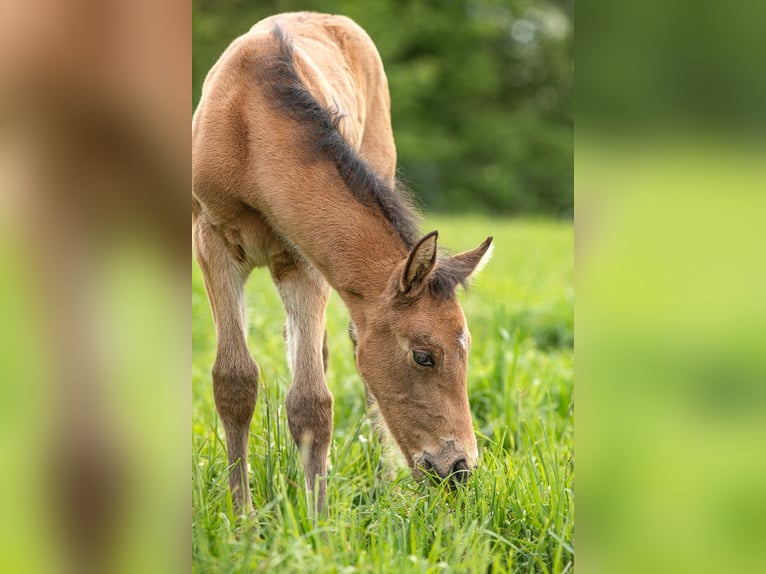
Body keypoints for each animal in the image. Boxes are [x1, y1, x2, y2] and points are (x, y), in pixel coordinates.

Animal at [192, 12, 492, 512]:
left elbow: (311, 401)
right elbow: (234, 380)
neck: (249, 128)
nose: (458, 469)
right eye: (424, 356)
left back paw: (378, 478)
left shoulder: (304, 261)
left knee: (348, 348)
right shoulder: (211, 243)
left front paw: (316, 518)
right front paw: (243, 517)